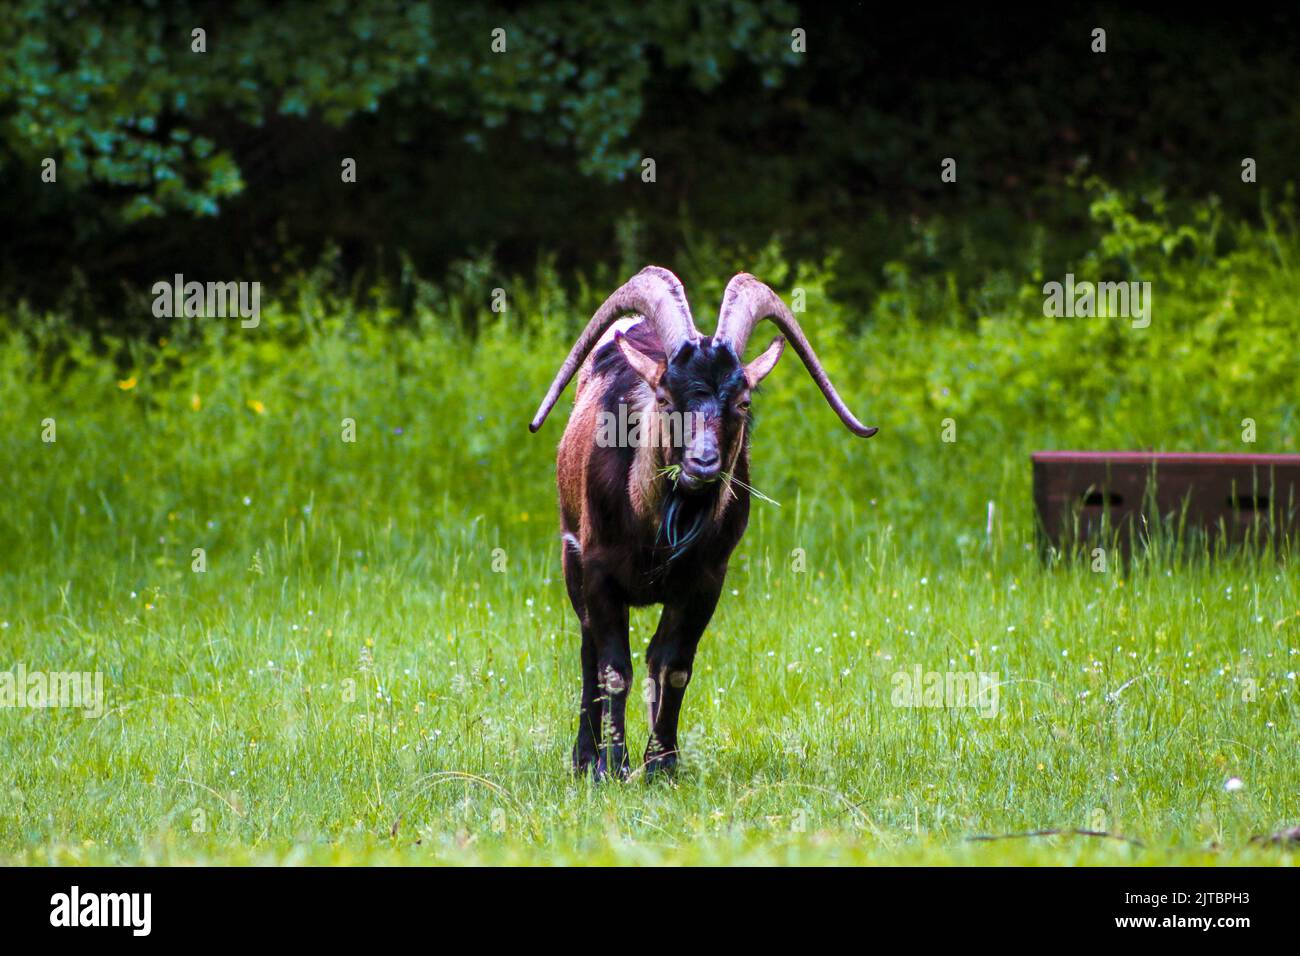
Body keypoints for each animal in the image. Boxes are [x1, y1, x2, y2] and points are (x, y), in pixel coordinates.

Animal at [529, 266, 877, 779]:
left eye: (743, 401)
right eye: (664, 396)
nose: (703, 462)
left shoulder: (704, 580)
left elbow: (673, 665)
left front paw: (661, 765)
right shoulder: (597, 568)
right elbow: (612, 667)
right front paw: (612, 765)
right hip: (570, 556)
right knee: (589, 649)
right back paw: (584, 758)